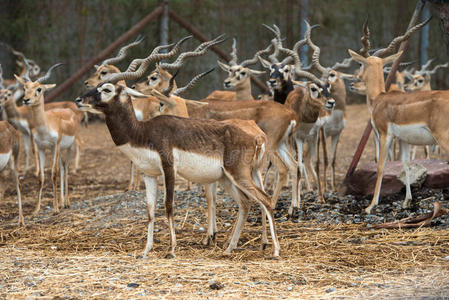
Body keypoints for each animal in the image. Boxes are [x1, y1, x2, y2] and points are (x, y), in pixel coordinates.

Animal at [14, 65, 83, 216]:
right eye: (24, 87)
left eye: (39, 89)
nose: (26, 100)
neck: (45, 125)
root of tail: (70, 111)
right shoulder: (41, 148)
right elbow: (41, 176)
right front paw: (36, 210)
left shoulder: (54, 146)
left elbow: (53, 173)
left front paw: (56, 209)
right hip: (59, 151)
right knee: (62, 167)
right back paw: (62, 202)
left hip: (68, 147)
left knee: (66, 168)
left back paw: (66, 203)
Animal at [344, 18, 432, 213]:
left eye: (360, 63)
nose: (353, 82)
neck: (380, 97)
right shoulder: (403, 139)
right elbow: (405, 165)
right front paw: (407, 201)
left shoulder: (384, 135)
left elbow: (381, 165)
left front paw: (371, 205)